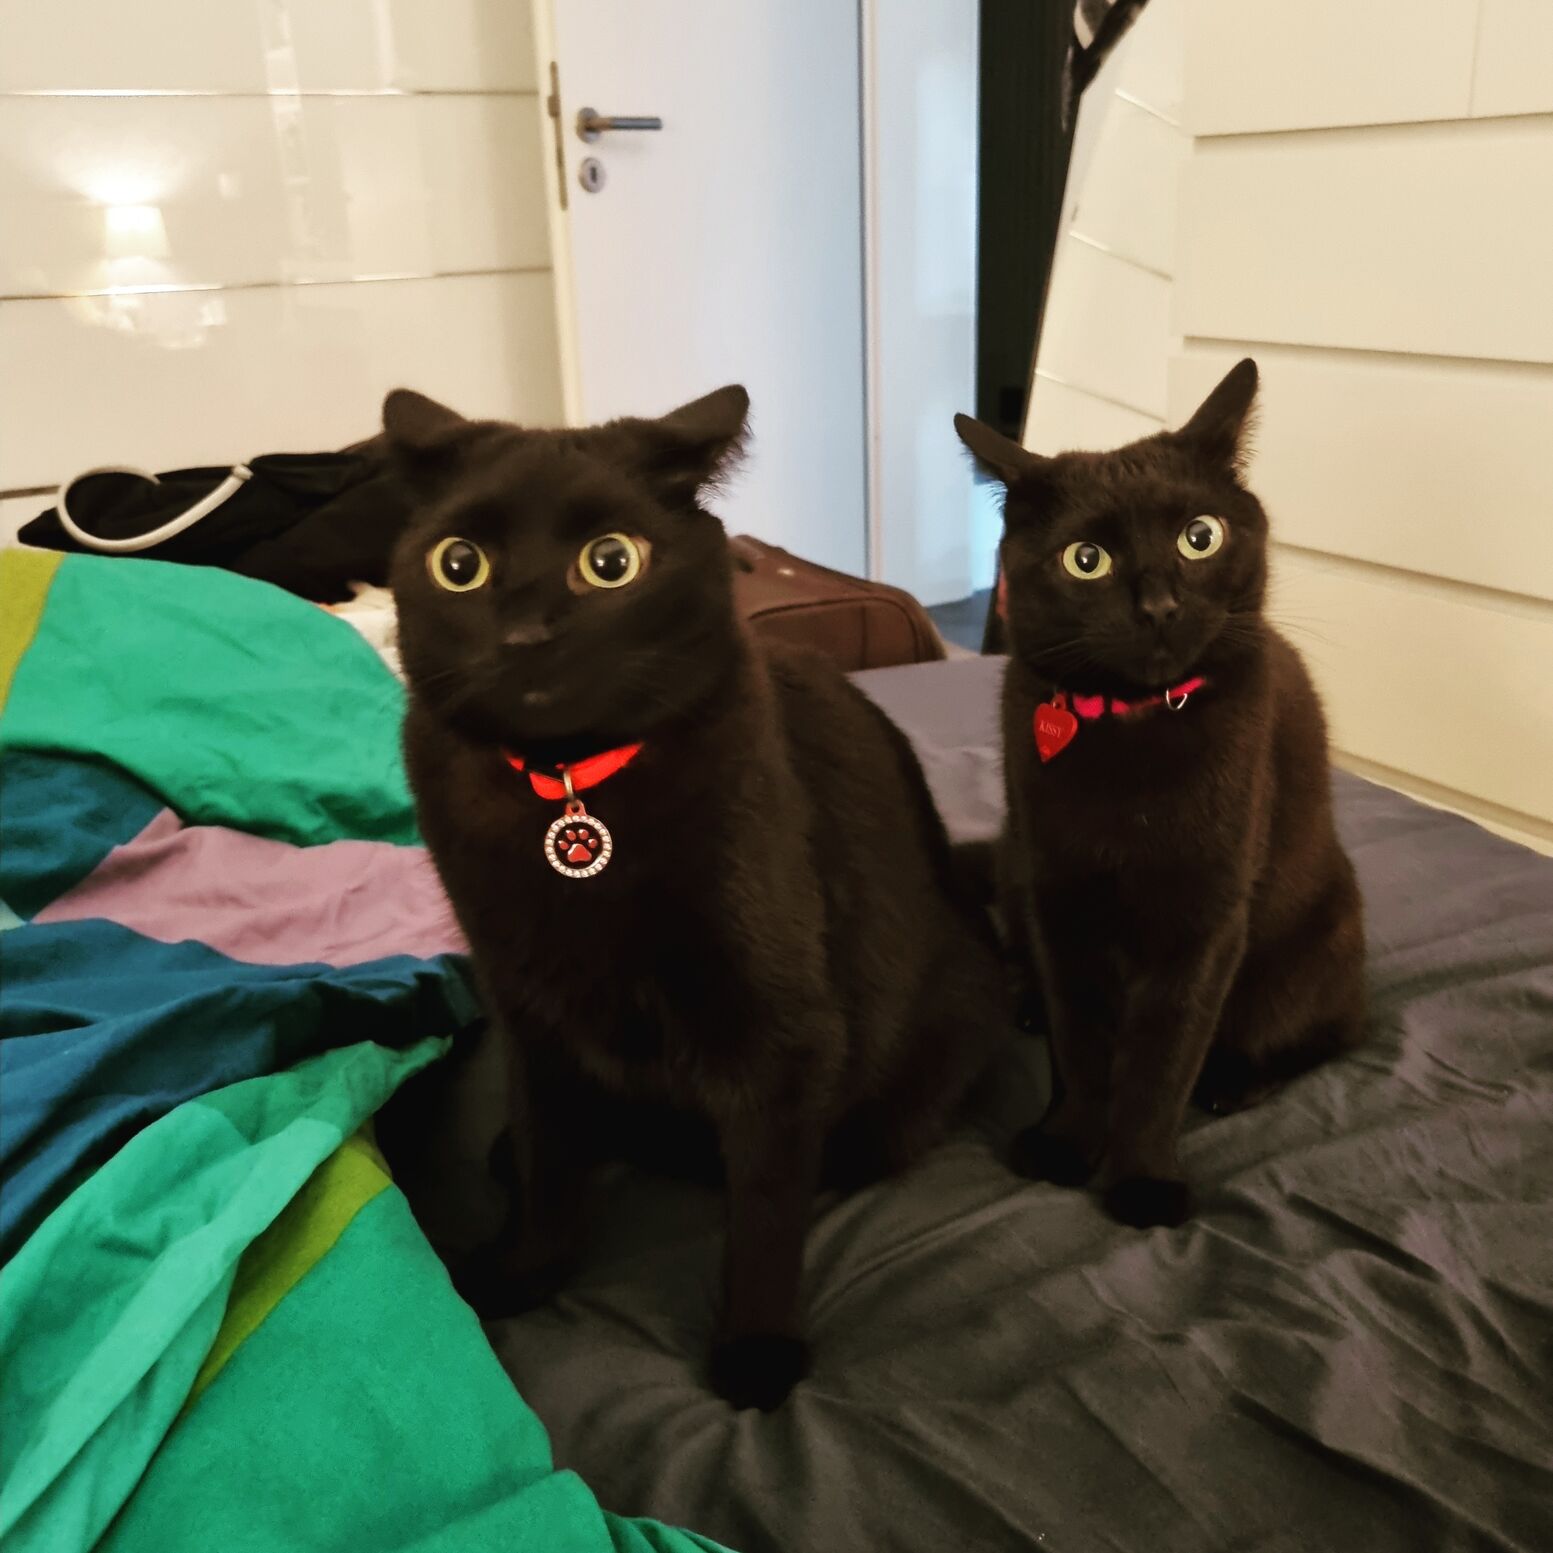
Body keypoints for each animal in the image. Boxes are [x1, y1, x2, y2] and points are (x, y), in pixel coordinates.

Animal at [384, 383, 1010, 1410]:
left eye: (611, 561)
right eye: (459, 564)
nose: (524, 634)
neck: (567, 792)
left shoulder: (779, 1034)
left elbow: (762, 1210)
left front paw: (755, 1350)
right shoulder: (528, 1006)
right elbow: (549, 1152)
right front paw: (526, 1266)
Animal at [954, 358, 1366, 1230]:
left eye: (1199, 536)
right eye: (1085, 559)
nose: (1159, 606)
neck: (1131, 727)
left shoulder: (1202, 919)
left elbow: (1160, 1058)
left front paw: (1141, 1178)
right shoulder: (1057, 894)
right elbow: (1080, 1039)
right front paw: (1065, 1141)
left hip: (1315, 946)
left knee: (1328, 1033)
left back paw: (1233, 1079)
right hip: (1012, 860)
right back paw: (1024, 999)